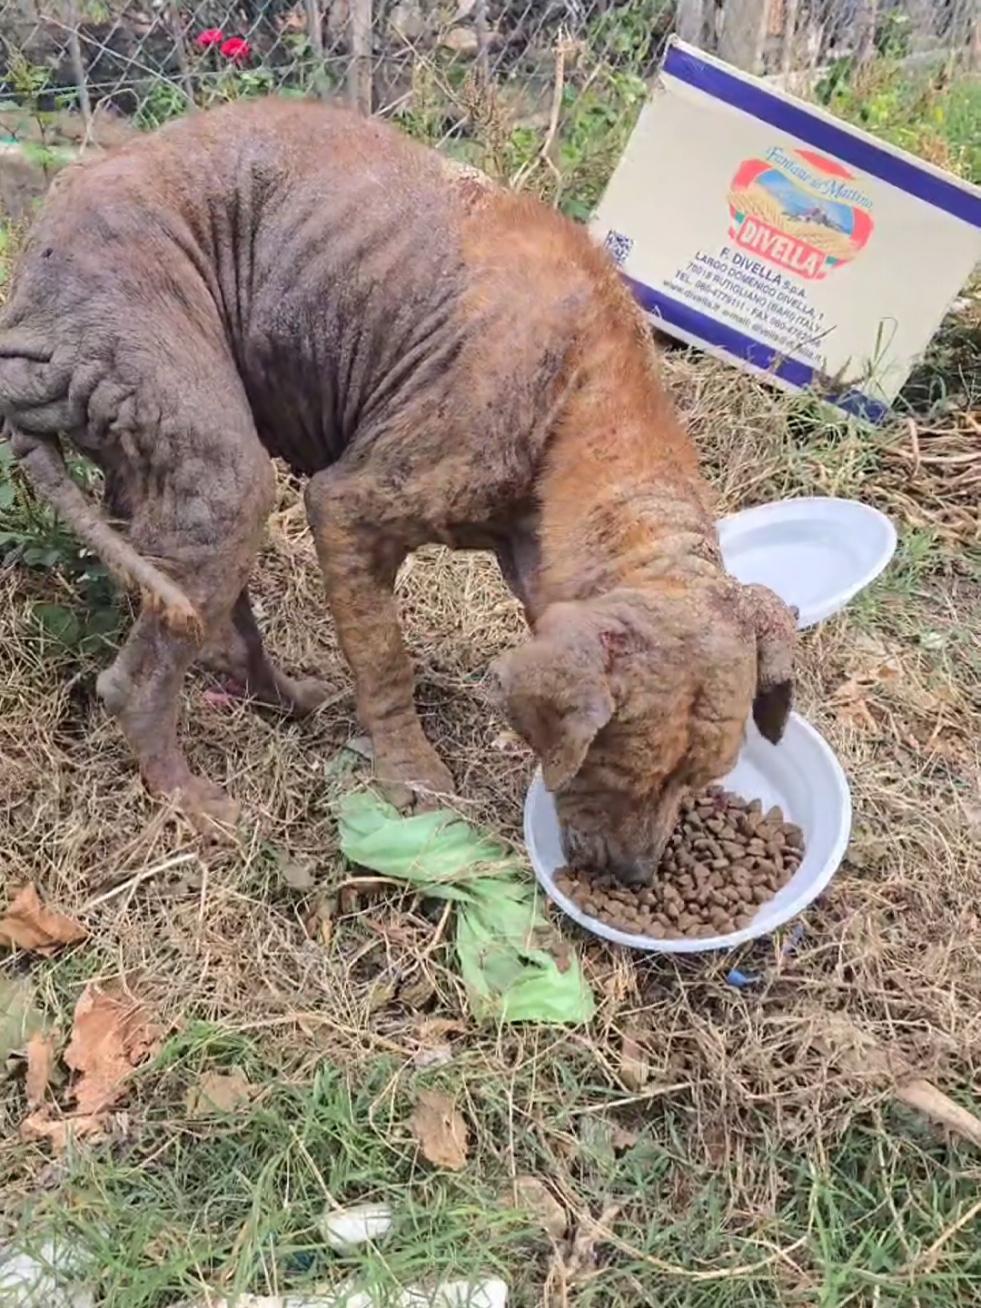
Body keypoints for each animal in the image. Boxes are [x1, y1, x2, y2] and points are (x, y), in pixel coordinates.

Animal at [0, 96, 795, 884]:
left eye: (701, 781)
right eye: (619, 769)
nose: (634, 878)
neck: (582, 402)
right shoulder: (348, 510)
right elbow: (386, 661)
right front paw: (411, 778)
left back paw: (280, 696)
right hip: (217, 457)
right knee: (140, 681)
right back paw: (188, 797)